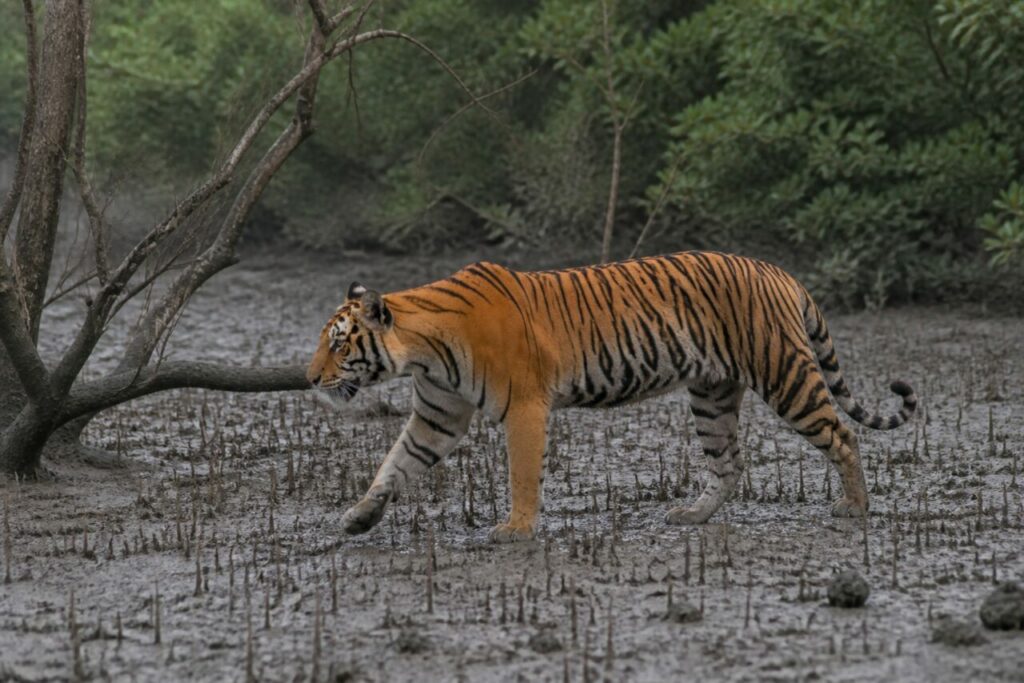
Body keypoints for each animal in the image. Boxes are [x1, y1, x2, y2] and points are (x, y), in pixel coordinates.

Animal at [306, 251, 917, 543]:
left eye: (338, 343)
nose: (310, 378)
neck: (423, 350)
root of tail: (778, 269)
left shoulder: (525, 407)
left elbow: (522, 472)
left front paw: (516, 530)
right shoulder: (437, 415)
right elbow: (395, 464)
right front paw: (359, 518)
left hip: (784, 373)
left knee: (843, 434)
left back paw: (856, 506)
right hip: (712, 395)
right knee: (728, 464)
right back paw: (692, 515)